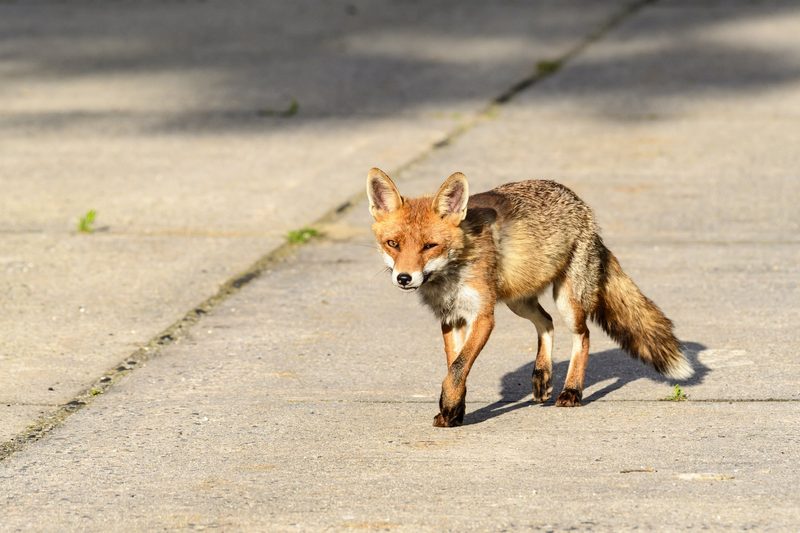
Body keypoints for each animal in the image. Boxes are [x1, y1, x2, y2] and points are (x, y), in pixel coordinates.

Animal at [366, 167, 693, 427]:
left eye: (429, 246)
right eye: (393, 244)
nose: (404, 278)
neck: (451, 274)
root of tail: (582, 205)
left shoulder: (483, 316)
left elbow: (458, 368)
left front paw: (449, 407)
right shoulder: (451, 318)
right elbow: (455, 368)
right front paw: (454, 409)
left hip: (567, 300)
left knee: (583, 335)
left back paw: (572, 391)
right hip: (518, 300)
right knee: (546, 323)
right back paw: (542, 374)